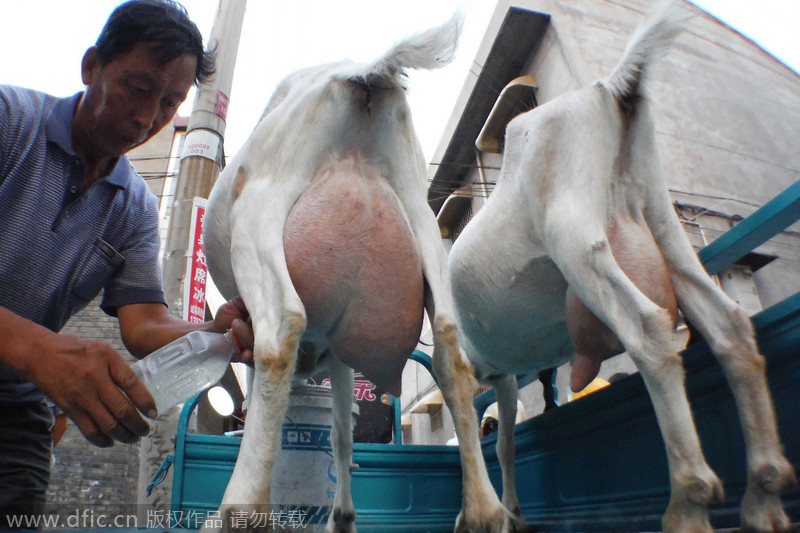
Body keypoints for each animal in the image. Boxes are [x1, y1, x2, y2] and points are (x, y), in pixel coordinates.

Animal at [206, 14, 512, 532]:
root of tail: (366, 75)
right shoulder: (343, 346)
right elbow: (342, 433)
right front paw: (344, 516)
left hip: (259, 216)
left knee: (281, 332)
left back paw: (240, 510)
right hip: (423, 225)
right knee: (450, 350)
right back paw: (482, 512)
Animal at [446, 2, 796, 528]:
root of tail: (610, 90)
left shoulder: (488, 373)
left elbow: (486, 437)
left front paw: (489, 515)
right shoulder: (508, 376)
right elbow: (510, 437)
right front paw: (510, 513)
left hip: (572, 231)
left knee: (648, 329)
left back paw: (689, 504)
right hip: (661, 216)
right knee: (729, 324)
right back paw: (763, 495)